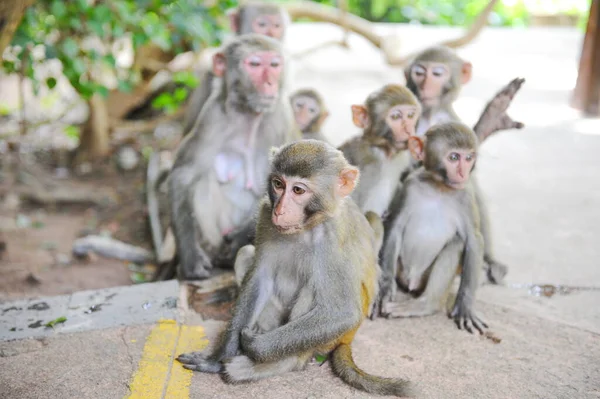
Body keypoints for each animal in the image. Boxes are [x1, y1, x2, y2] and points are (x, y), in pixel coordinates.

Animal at [168, 35, 298, 282]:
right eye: (255, 64)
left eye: (274, 65)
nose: (270, 83)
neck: (250, 114)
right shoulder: (212, 117)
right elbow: (184, 174)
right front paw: (190, 256)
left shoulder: (281, 117)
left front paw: (239, 239)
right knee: (201, 181)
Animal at [176, 140, 414, 396]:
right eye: (278, 184)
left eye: (298, 190)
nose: (280, 210)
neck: (307, 226)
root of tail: (348, 339)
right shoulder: (265, 215)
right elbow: (261, 277)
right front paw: (218, 358)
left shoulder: (332, 238)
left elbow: (341, 312)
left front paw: (254, 345)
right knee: (246, 255)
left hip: (331, 338)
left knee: (315, 290)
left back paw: (276, 362)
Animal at [380, 122, 488, 334]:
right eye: (454, 157)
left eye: (469, 157)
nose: (463, 173)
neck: (439, 187)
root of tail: (412, 281)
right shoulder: (410, 186)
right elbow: (394, 226)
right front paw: (386, 288)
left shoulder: (466, 196)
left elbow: (474, 240)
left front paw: (465, 306)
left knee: (457, 242)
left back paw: (425, 305)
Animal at [404, 46, 524, 284]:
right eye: (419, 73)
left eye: (437, 74)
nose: (425, 85)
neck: (431, 114)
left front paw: (492, 116)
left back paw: (489, 260)